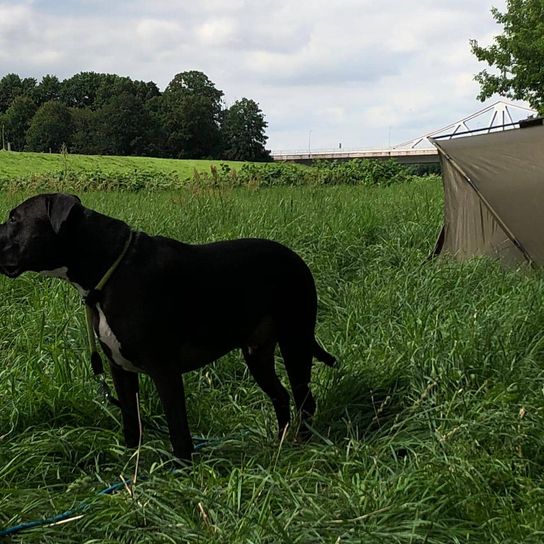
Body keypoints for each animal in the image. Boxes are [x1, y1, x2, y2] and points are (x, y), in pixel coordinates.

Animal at [0, 193, 336, 462]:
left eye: (14, 218)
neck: (109, 269)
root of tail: (296, 258)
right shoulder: (120, 370)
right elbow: (131, 426)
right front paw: (131, 472)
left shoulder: (164, 371)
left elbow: (179, 432)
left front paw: (182, 475)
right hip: (257, 354)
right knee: (281, 396)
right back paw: (280, 444)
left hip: (295, 340)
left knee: (304, 400)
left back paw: (301, 444)